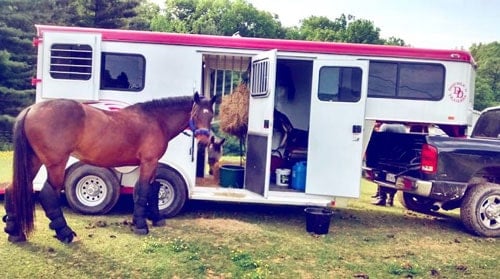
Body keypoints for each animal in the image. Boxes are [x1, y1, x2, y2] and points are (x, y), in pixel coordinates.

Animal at [3, 93, 215, 244]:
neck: (156, 120)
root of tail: (31, 109)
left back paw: (15, 233)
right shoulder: (148, 162)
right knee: (49, 193)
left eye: (211, 115)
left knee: (14, 188)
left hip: (33, 161)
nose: (205, 141)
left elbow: (154, 189)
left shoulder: (152, 164)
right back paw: (65, 234)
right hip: (56, 164)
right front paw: (140, 226)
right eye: (196, 114)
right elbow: (144, 190)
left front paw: (156, 219)